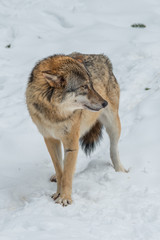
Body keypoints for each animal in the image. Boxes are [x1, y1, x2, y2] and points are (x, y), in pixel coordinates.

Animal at [26, 52, 126, 206]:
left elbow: (67, 175)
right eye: (84, 86)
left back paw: (119, 170)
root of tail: (102, 56)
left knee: (113, 149)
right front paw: (58, 193)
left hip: (113, 124)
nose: (104, 103)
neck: (56, 115)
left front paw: (65, 198)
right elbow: (61, 170)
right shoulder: (50, 139)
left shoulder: (71, 141)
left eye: (91, 85)